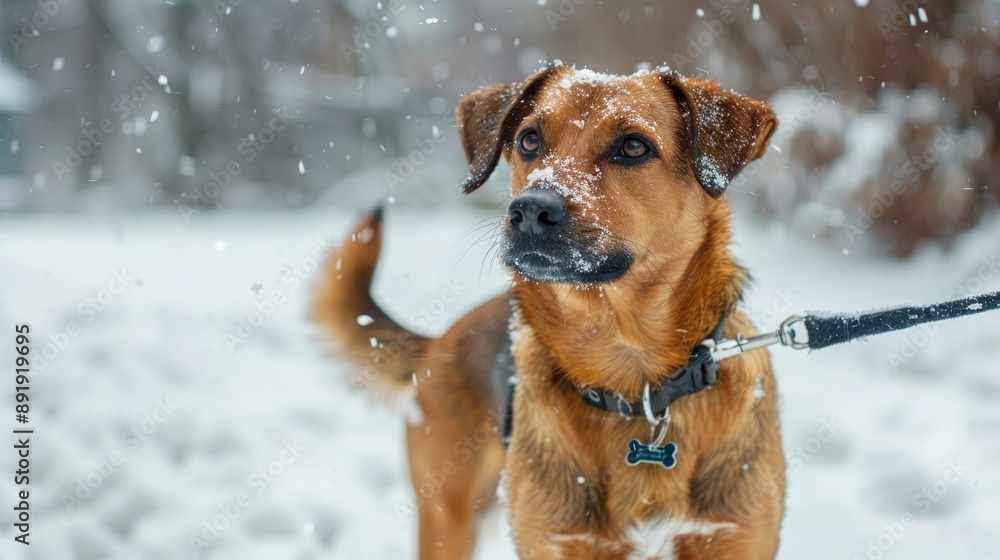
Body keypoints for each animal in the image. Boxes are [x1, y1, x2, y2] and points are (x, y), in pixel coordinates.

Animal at [316, 66, 784, 560]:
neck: (633, 377)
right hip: (446, 516)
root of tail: (440, 341)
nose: (530, 211)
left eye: (634, 146)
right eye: (529, 140)